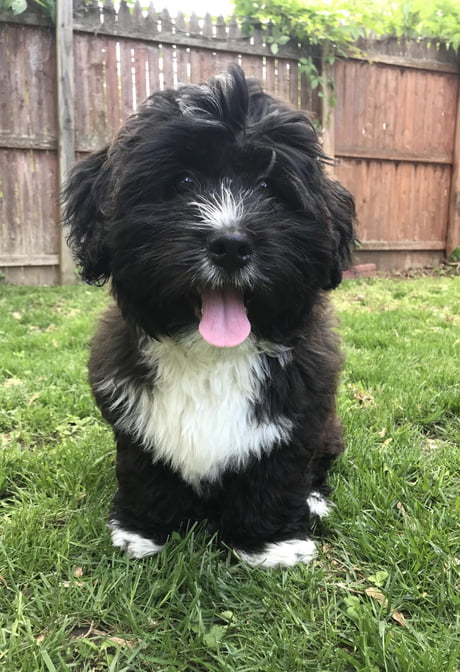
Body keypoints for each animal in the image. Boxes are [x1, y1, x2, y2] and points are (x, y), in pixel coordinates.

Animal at [63, 64, 356, 568]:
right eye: (182, 182)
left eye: (268, 187)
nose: (231, 244)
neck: (211, 356)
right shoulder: (135, 424)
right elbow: (146, 471)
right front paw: (144, 529)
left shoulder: (295, 421)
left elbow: (276, 475)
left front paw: (271, 543)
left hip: (328, 428)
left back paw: (315, 500)